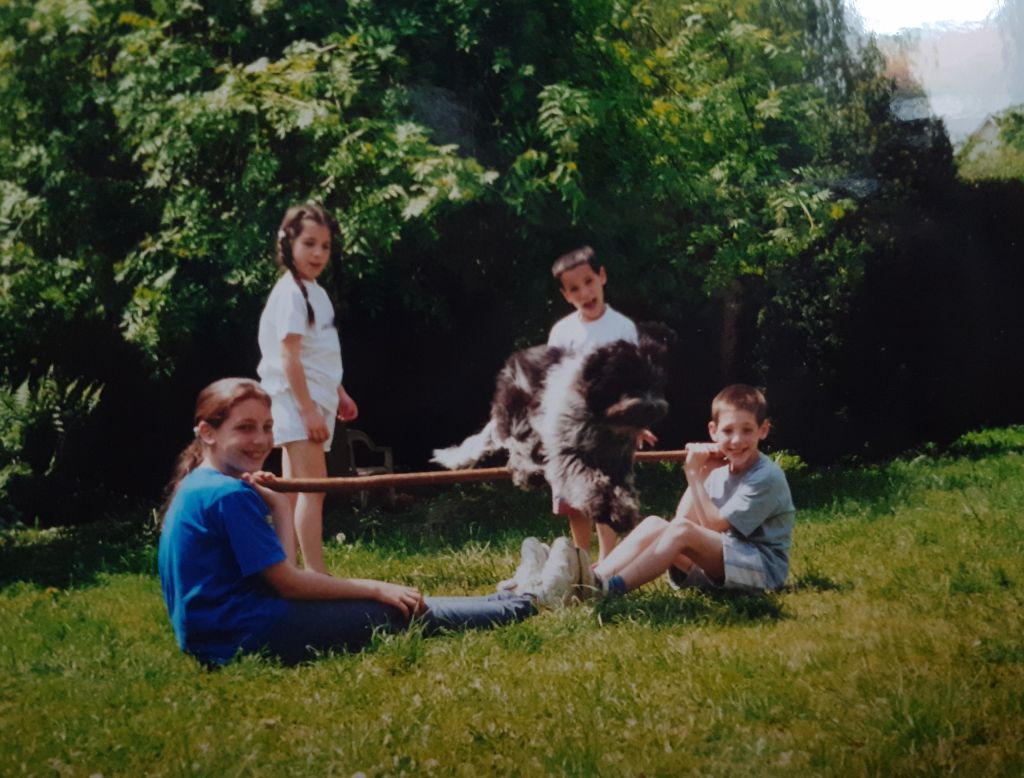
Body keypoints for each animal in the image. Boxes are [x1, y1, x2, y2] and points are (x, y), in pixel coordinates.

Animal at [432, 323, 671, 536]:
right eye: (629, 382)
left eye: (655, 384)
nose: (652, 408)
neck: (602, 419)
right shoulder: (568, 445)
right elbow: (585, 478)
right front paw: (602, 506)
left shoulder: (616, 460)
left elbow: (621, 486)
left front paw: (622, 512)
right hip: (522, 418)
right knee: (519, 453)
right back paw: (531, 475)